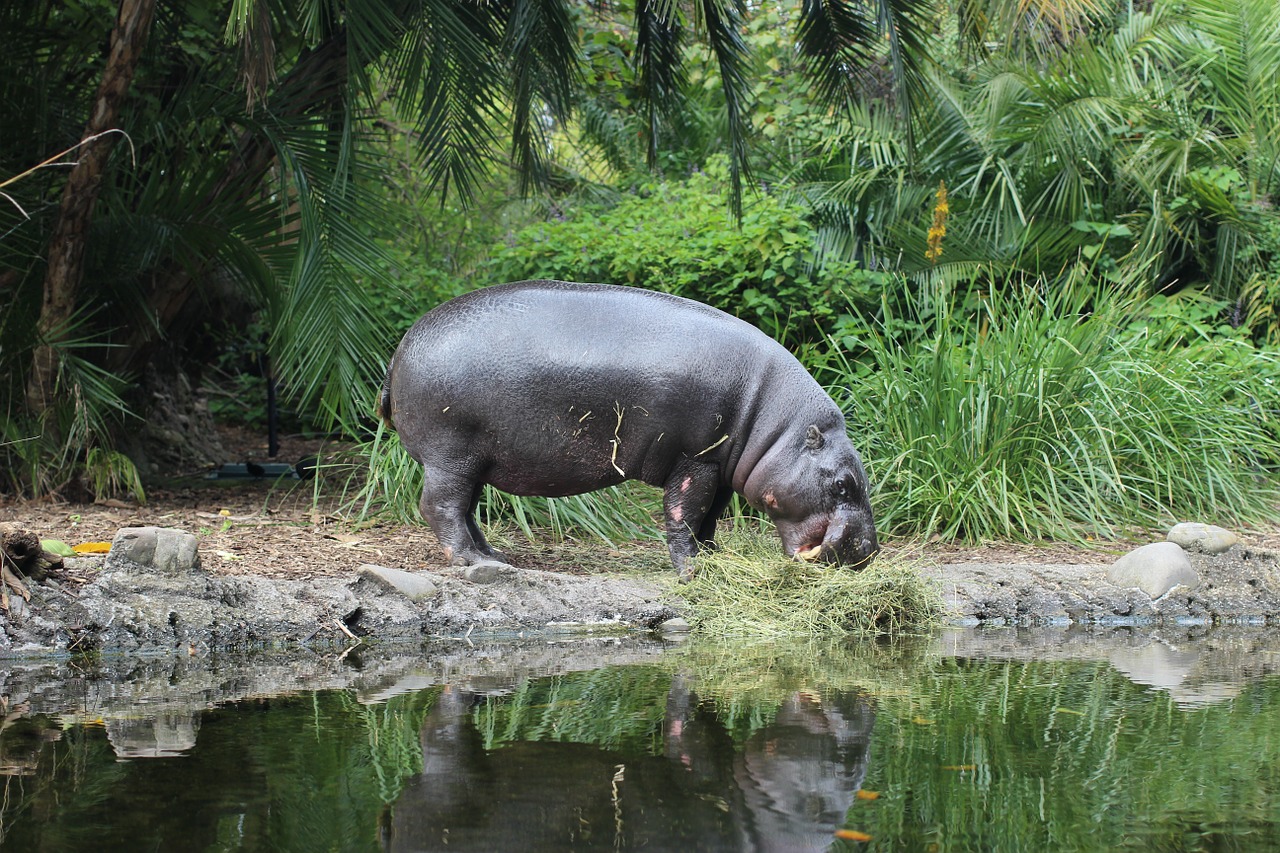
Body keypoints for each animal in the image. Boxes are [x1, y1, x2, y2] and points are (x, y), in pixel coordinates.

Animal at [376, 279, 880, 578]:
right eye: (842, 484)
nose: (869, 550)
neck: (777, 427)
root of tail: (398, 351)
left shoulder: (718, 467)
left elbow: (710, 518)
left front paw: (714, 558)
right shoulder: (694, 459)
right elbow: (684, 515)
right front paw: (692, 571)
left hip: (478, 458)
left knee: (467, 509)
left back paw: (496, 555)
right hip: (451, 454)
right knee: (441, 506)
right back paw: (475, 563)